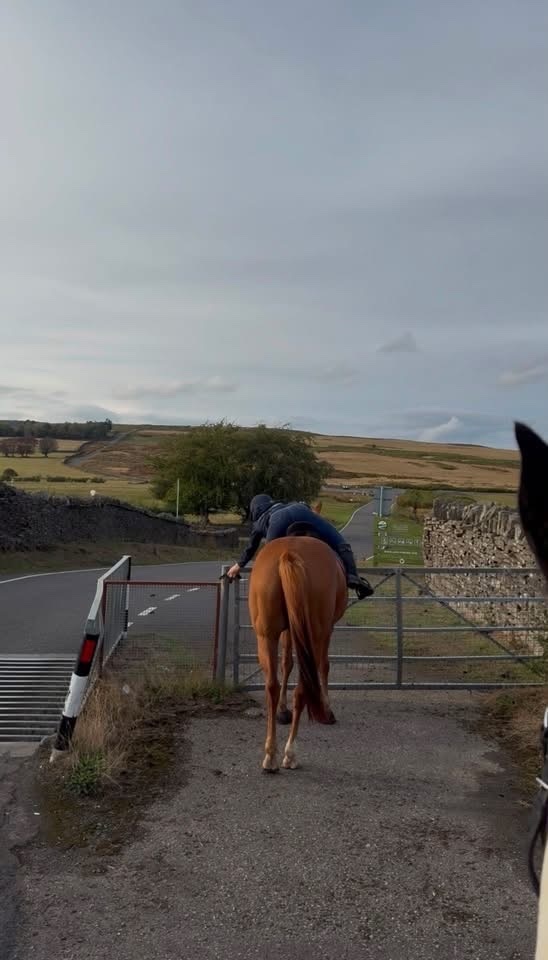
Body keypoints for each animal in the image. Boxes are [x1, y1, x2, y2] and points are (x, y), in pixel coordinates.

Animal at [248, 532, 348, 772]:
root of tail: (289, 553)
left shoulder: (290, 630)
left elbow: (286, 663)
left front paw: (283, 710)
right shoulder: (325, 632)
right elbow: (324, 666)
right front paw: (327, 708)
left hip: (266, 635)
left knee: (272, 685)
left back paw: (271, 755)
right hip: (317, 634)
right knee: (303, 687)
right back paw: (290, 754)